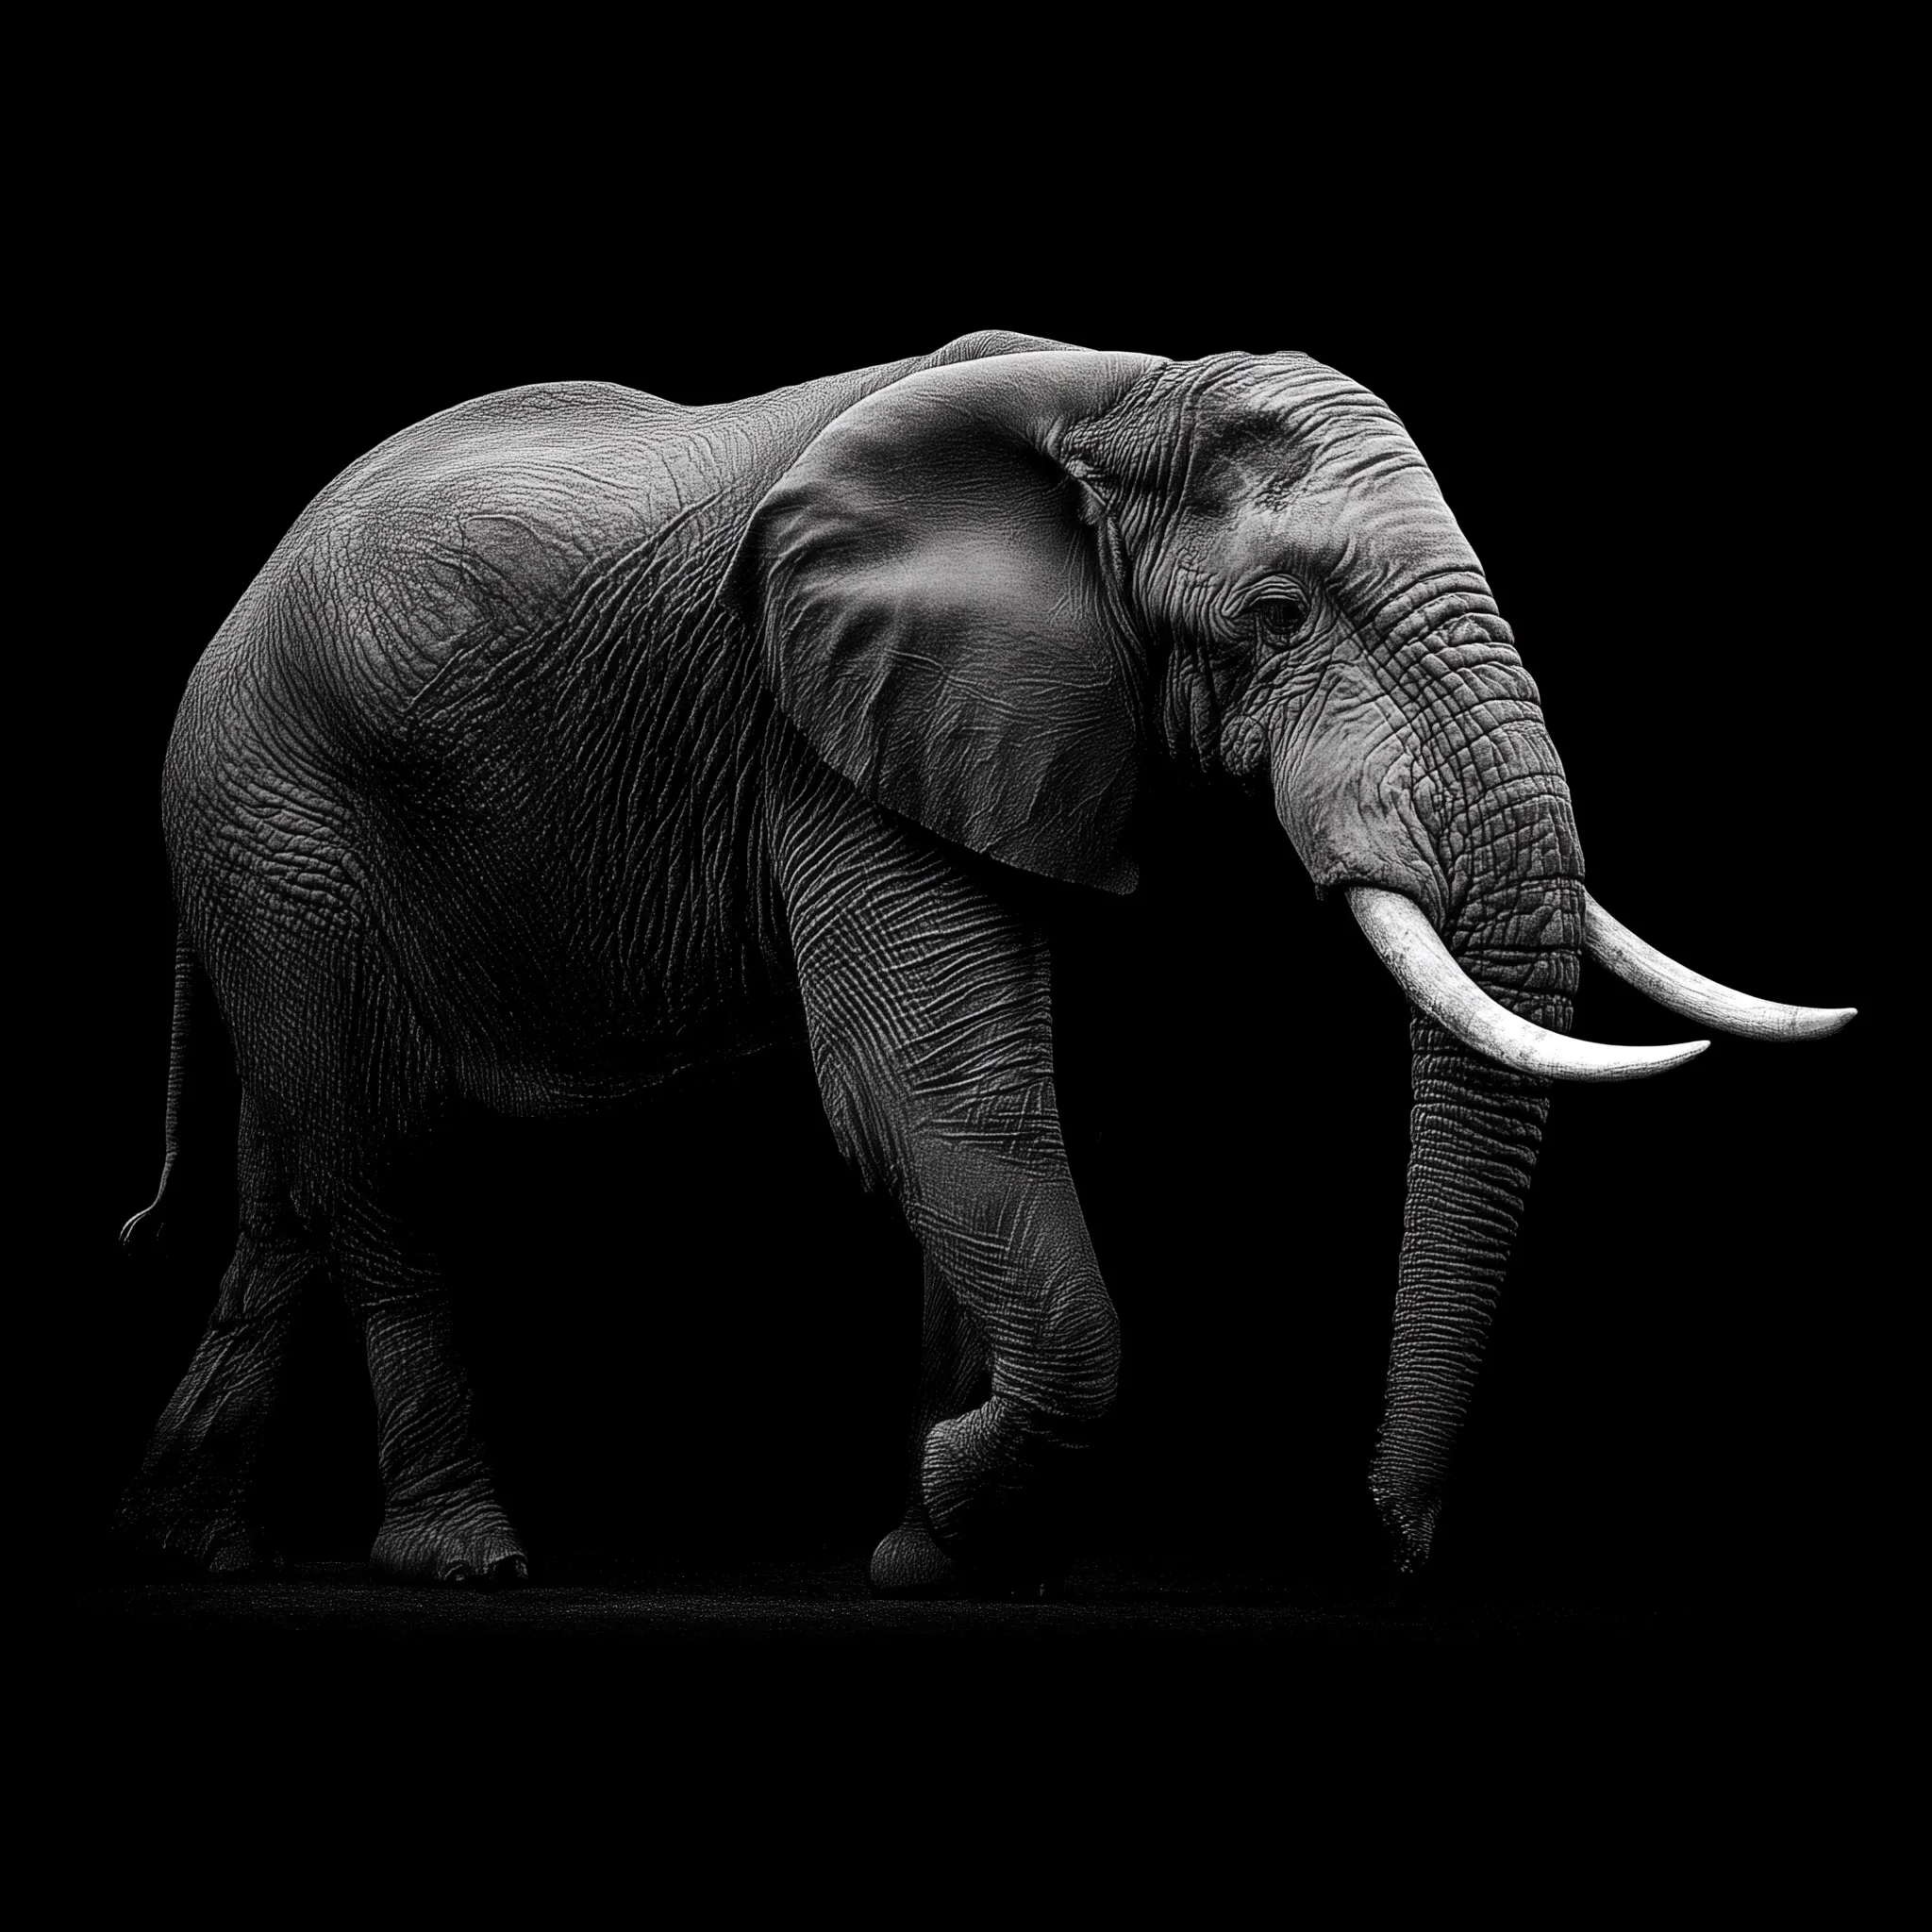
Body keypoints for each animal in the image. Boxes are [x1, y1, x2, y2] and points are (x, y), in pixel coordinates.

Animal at [115, 328, 1854, 1594]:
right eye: (1280, 614)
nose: (1394, 1542)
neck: (1116, 390)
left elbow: (971, 1096)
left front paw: (933, 1551)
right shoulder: (813, 725)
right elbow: (930, 1088)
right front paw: (945, 1503)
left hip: (272, 852)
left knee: (290, 1192)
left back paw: (197, 1543)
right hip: (284, 815)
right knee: (379, 1163)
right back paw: (458, 1559)